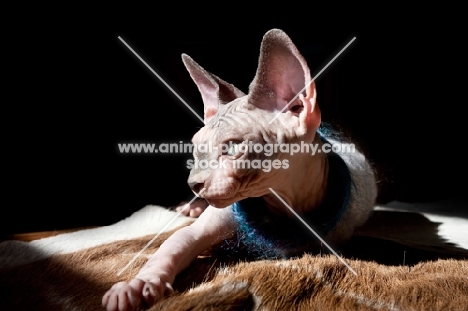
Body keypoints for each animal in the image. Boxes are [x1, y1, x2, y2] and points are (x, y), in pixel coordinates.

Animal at [102, 29, 376, 311]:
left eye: (232, 148)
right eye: (197, 149)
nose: (193, 184)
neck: (284, 204)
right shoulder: (198, 230)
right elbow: (170, 247)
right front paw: (138, 285)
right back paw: (191, 208)